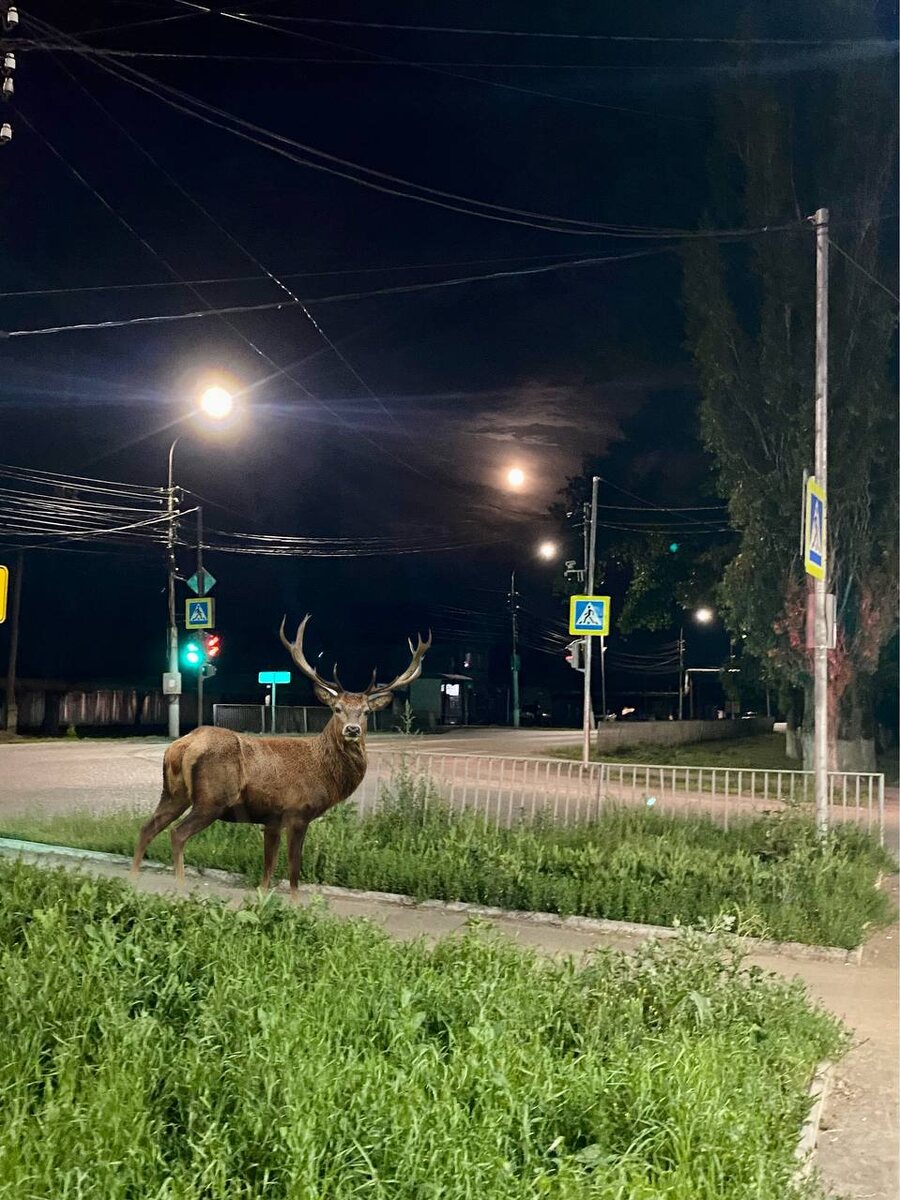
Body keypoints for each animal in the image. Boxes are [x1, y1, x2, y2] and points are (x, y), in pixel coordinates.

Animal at [131, 615, 431, 900]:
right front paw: (296, 904)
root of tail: (181, 746)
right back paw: (179, 886)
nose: (352, 729)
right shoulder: (297, 812)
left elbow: (268, 870)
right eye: (336, 708)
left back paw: (134, 880)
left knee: (147, 828)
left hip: (174, 793)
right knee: (177, 834)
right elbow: (293, 870)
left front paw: (263, 898)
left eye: (366, 712)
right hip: (211, 799)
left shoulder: (272, 819)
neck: (323, 772)